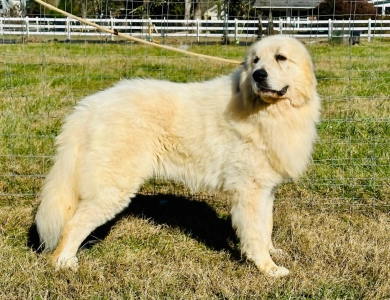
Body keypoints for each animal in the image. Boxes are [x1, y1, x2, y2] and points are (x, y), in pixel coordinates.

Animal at [35, 35, 320, 278]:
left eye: (281, 58)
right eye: (255, 61)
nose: (258, 75)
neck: (268, 111)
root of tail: (88, 107)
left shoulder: (265, 189)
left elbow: (266, 226)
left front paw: (273, 253)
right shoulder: (249, 191)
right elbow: (255, 234)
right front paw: (267, 268)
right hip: (112, 189)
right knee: (73, 225)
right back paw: (63, 263)